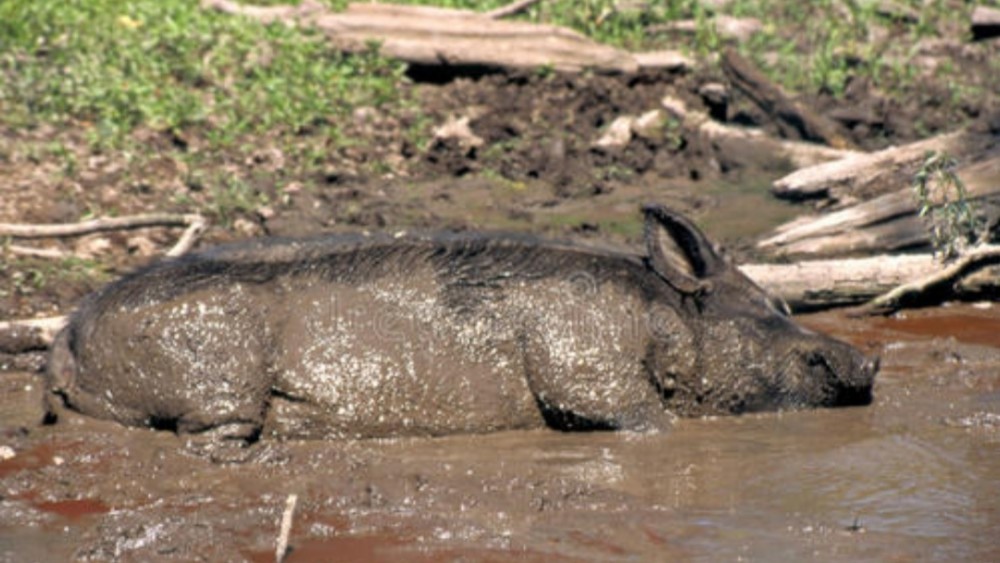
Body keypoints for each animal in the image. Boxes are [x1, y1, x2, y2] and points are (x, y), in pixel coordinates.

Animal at [45, 205, 876, 448]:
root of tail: (66, 333)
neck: (660, 319)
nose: (869, 361)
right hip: (218, 376)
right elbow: (633, 413)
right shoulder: (582, 362)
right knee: (210, 432)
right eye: (775, 311)